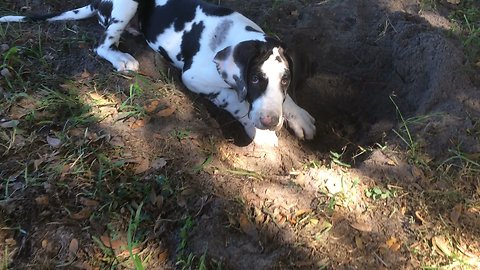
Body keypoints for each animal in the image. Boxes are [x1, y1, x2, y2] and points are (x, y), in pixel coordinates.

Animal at [0, 0, 316, 147]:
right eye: (254, 79)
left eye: (285, 79)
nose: (269, 121)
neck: (233, 35)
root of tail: (96, 3)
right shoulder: (194, 77)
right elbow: (235, 99)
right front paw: (259, 131)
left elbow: (284, 100)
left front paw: (298, 116)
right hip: (126, 5)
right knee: (102, 45)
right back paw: (122, 57)